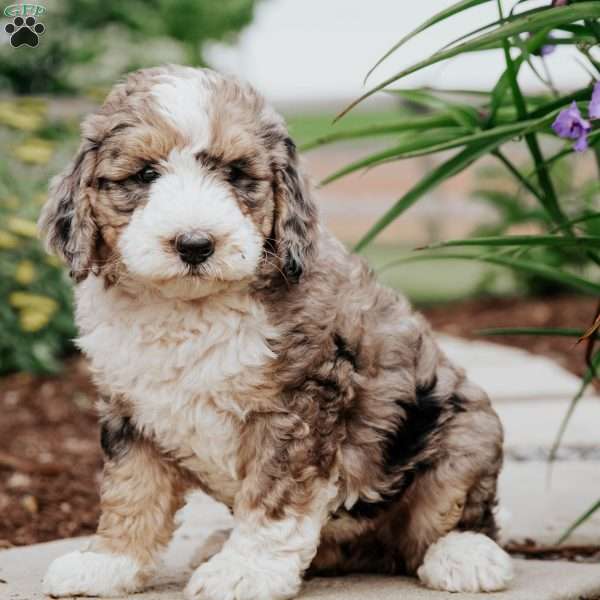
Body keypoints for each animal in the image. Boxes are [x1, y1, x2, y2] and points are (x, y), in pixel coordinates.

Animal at [38, 65, 510, 600]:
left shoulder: (298, 408)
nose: (195, 244)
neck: (187, 307)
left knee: (453, 516)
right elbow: (131, 488)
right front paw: (108, 563)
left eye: (236, 174)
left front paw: (243, 571)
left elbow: (274, 501)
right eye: (144, 175)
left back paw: (465, 556)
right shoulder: (129, 410)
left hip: (465, 436)